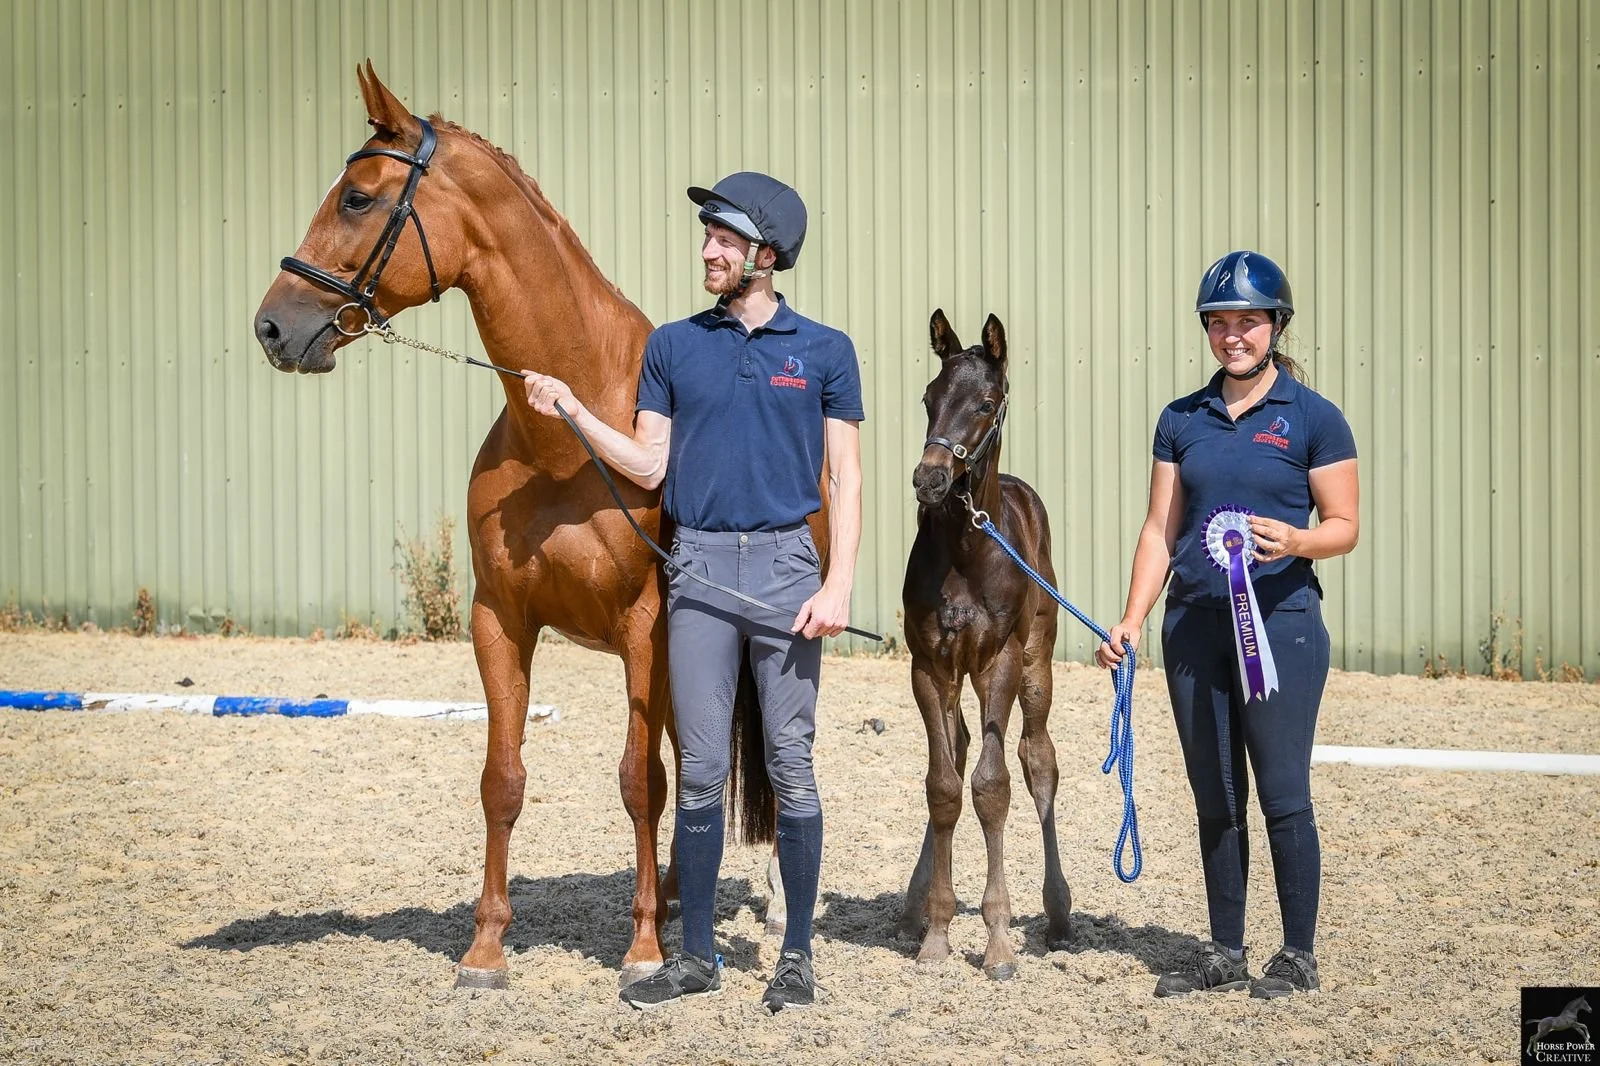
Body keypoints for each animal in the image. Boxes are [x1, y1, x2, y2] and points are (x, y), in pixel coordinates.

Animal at [253, 62, 808, 988]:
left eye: (359, 198)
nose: (272, 325)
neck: (571, 433)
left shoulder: (646, 626)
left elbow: (638, 781)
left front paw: (642, 949)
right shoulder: (501, 620)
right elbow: (503, 778)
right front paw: (486, 948)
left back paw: (753, 911)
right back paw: (675, 894)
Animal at [896, 309, 1073, 979]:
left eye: (986, 403)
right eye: (928, 397)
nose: (929, 478)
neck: (969, 548)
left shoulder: (999, 661)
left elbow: (992, 789)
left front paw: (997, 942)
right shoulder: (928, 666)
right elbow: (944, 786)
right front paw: (937, 933)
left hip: (1035, 664)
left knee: (1037, 757)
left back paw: (1058, 912)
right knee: (962, 747)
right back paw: (915, 905)